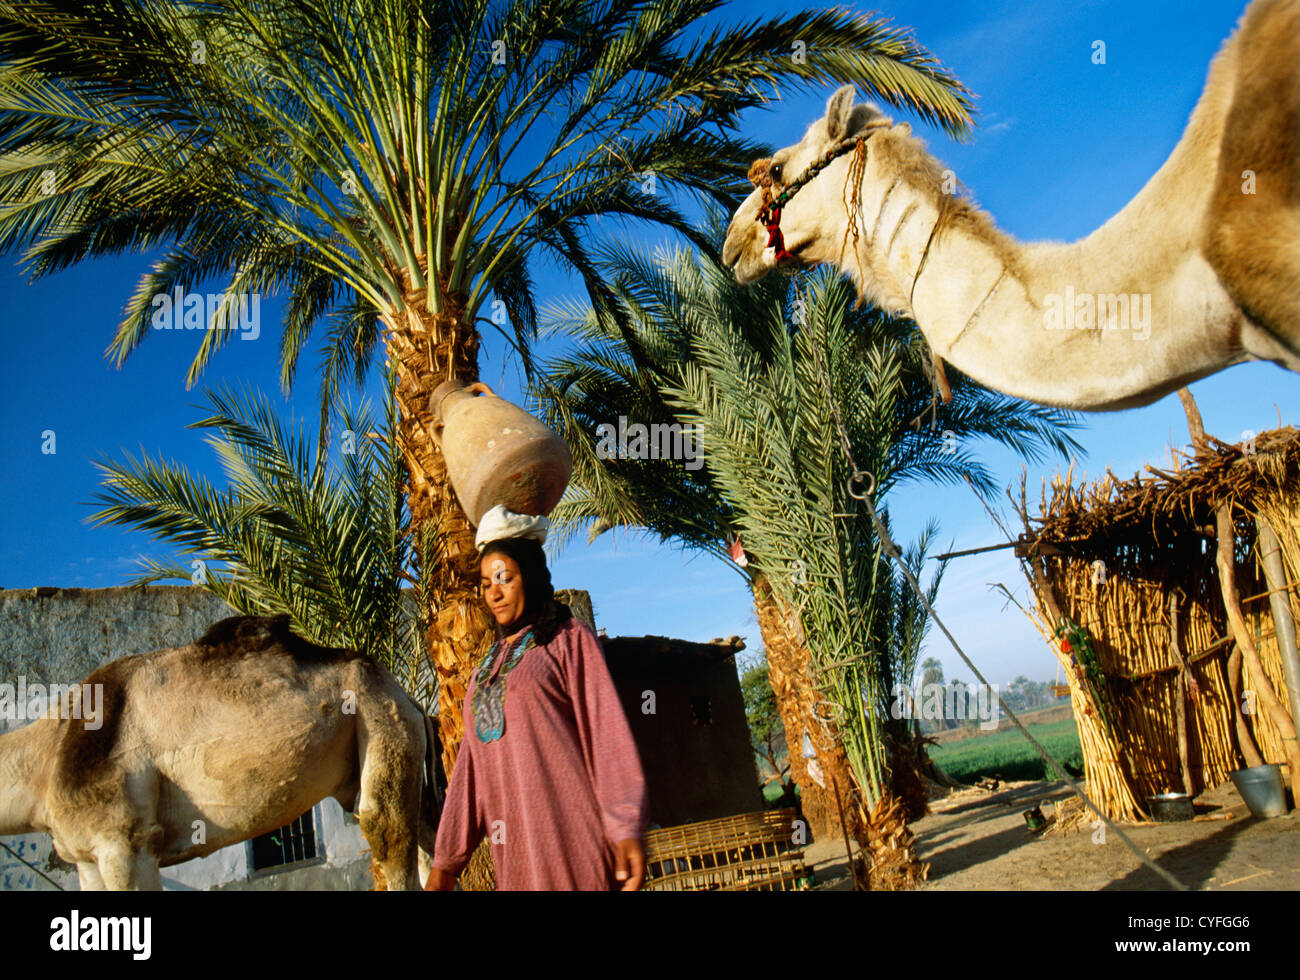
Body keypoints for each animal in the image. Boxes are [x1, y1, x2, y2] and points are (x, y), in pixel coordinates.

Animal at [0, 613, 441, 889]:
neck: (46, 760)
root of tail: (408, 699)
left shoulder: (125, 843)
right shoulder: (87, 858)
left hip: (379, 720)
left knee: (386, 834)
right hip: (394, 749)